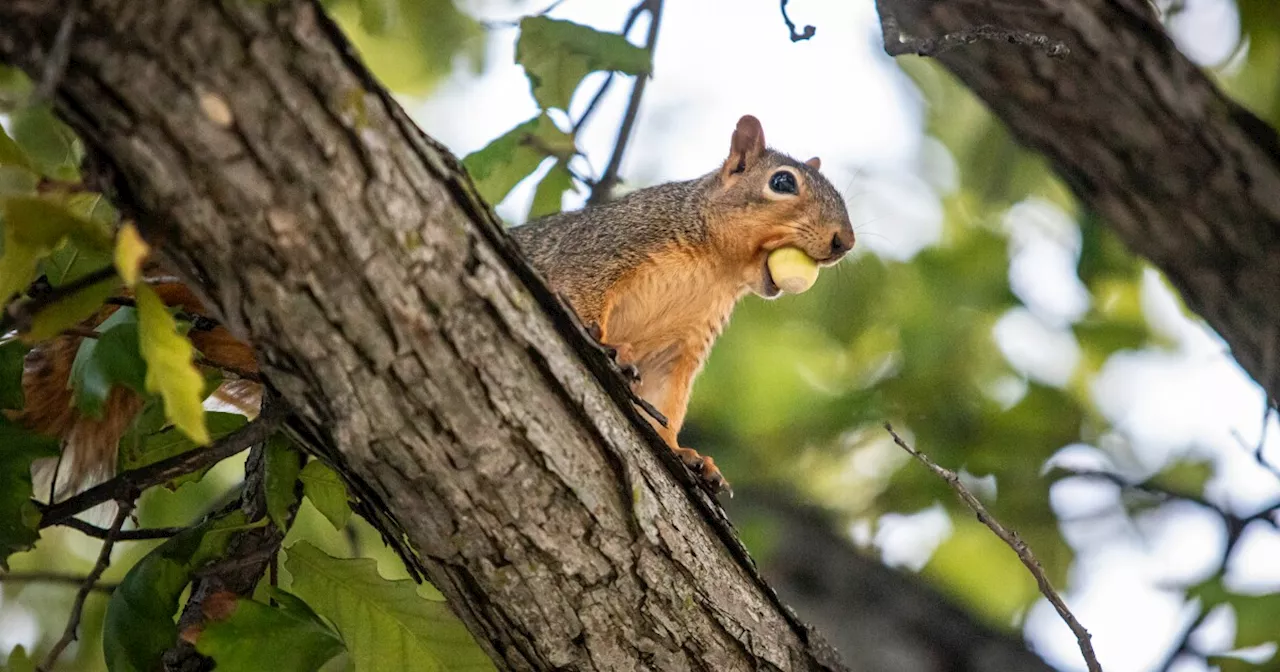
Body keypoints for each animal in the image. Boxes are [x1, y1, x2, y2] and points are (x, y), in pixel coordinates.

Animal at [17, 113, 849, 491]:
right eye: (781, 182)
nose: (842, 243)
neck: (715, 265)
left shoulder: (685, 347)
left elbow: (669, 409)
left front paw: (689, 459)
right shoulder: (606, 248)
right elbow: (582, 296)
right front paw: (598, 343)